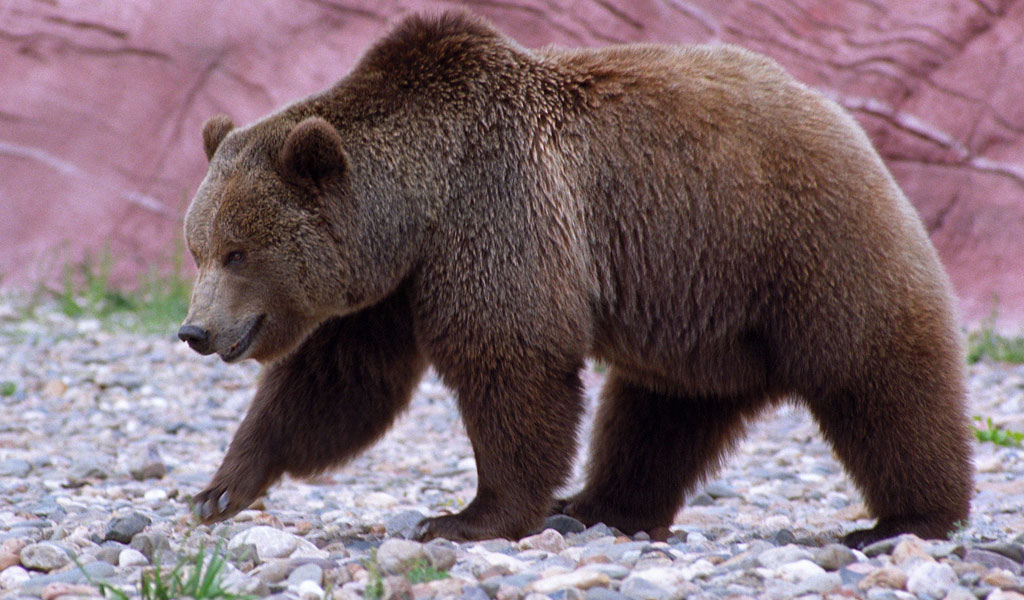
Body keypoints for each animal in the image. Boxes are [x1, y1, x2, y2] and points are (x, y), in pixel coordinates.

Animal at [178, 10, 974, 544]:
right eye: (199, 247)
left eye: (238, 251)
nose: (195, 330)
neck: (417, 208)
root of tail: (840, 116)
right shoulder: (394, 284)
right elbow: (337, 382)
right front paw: (219, 489)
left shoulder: (496, 212)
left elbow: (511, 362)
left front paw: (466, 517)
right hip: (702, 311)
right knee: (660, 415)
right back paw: (600, 505)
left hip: (797, 243)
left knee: (876, 375)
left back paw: (908, 518)